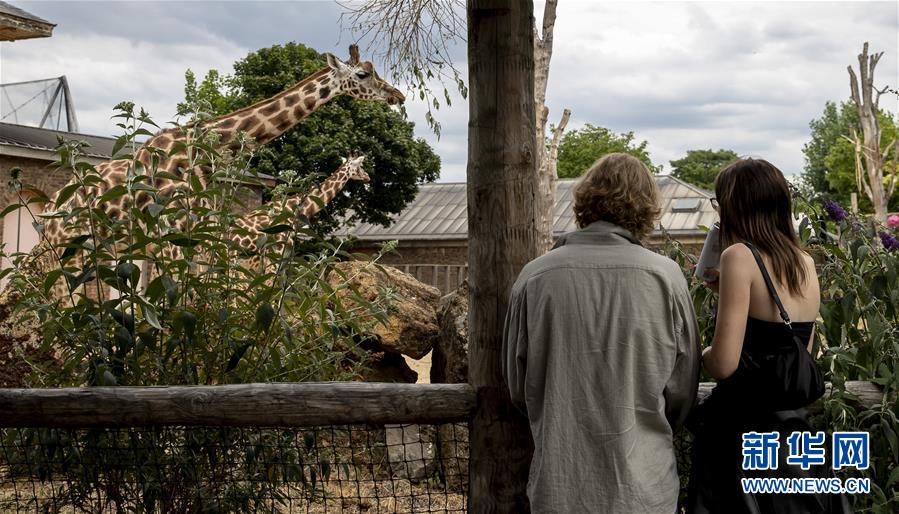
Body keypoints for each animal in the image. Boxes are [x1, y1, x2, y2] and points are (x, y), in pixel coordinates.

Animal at [9, 44, 404, 302]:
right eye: (363, 74)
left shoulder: (190, 236)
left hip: (99, 248)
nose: (397, 96)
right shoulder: (174, 232)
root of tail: (49, 214)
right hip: (68, 250)